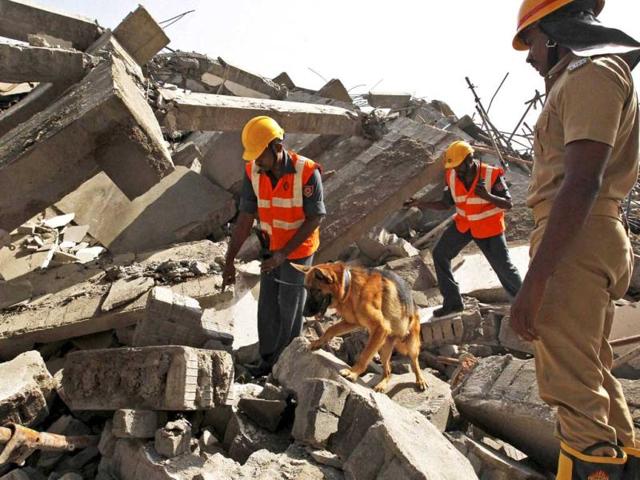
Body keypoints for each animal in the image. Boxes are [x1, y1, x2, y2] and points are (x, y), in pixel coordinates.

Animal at [292, 262, 428, 394]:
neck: (349, 286)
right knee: (388, 370)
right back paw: (382, 385)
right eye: (307, 289)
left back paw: (420, 380)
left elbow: (365, 355)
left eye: (315, 290)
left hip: (410, 344)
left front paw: (353, 372)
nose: (303, 313)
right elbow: (331, 329)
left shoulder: (380, 327)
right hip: (383, 348)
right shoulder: (352, 323)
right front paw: (318, 342)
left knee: (415, 363)